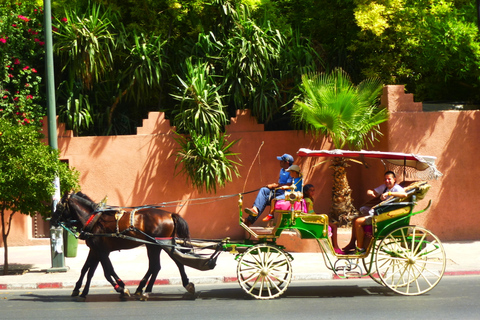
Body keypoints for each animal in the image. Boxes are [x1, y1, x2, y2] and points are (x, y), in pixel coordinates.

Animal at [53, 191, 195, 302]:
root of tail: (170, 214)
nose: (52, 220)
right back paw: (184, 284)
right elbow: (87, 270)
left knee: (156, 266)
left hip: (155, 246)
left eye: (59, 206)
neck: (94, 220)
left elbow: (107, 272)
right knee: (175, 262)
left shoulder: (102, 251)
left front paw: (122, 288)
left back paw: (146, 291)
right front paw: (80, 291)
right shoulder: (95, 250)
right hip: (160, 245)